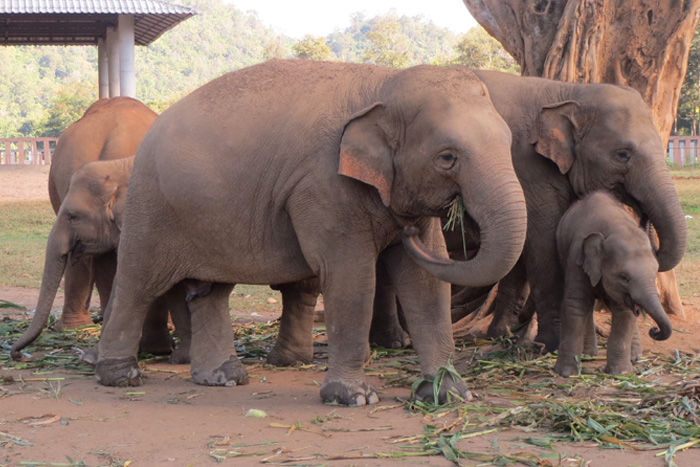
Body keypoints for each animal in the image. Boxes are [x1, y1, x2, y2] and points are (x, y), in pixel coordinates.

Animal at [94, 59, 528, 407]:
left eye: (509, 144)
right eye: (447, 158)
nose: (404, 231)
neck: (382, 84)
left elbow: (425, 286)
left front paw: (447, 395)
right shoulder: (322, 187)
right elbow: (351, 278)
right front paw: (353, 398)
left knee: (210, 291)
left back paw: (224, 378)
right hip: (151, 205)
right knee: (139, 280)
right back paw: (120, 376)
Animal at [553, 191, 671, 377]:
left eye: (654, 275)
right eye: (624, 277)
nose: (654, 330)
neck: (614, 227)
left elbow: (624, 312)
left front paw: (620, 373)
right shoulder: (576, 256)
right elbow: (576, 304)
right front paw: (566, 373)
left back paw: (634, 357)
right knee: (586, 307)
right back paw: (589, 355)